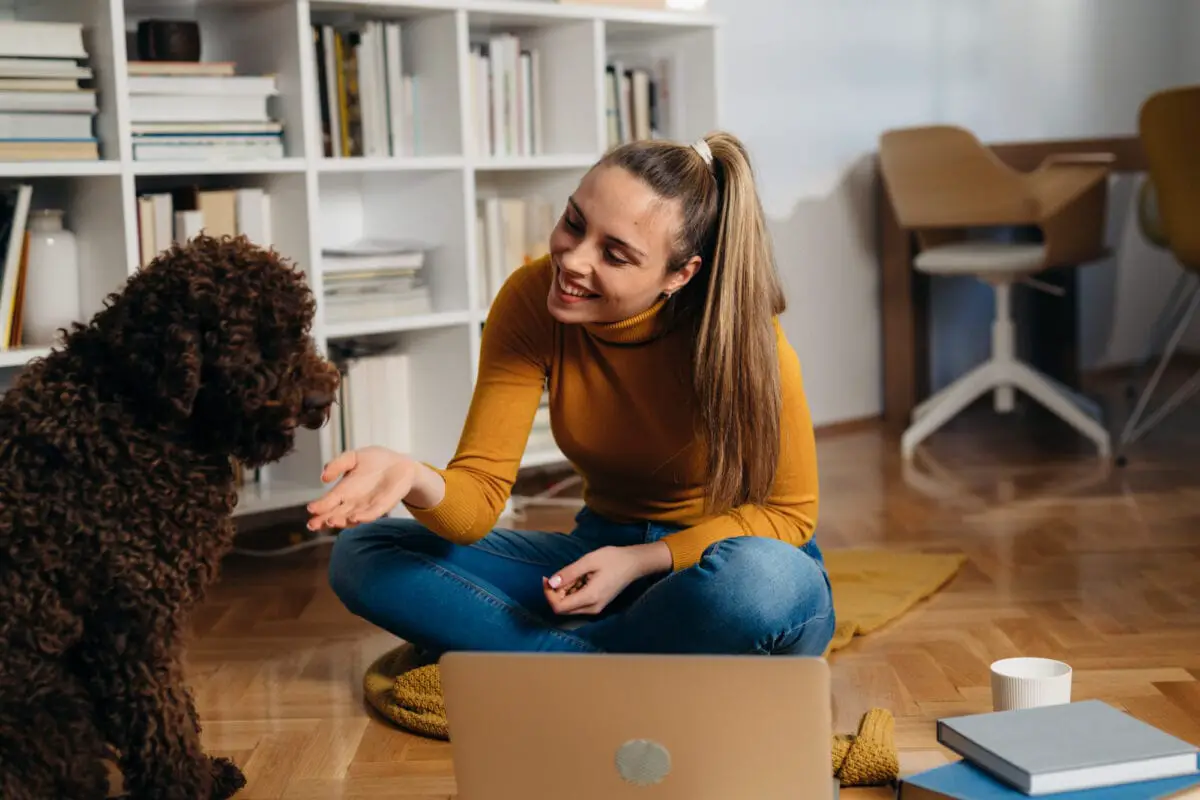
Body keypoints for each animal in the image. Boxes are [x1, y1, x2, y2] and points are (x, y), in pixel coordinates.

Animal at [0, 235, 340, 796]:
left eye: (299, 327)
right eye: (249, 339)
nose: (321, 398)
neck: (138, 411)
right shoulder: (131, 624)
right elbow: (163, 716)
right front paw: (189, 784)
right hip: (52, 705)